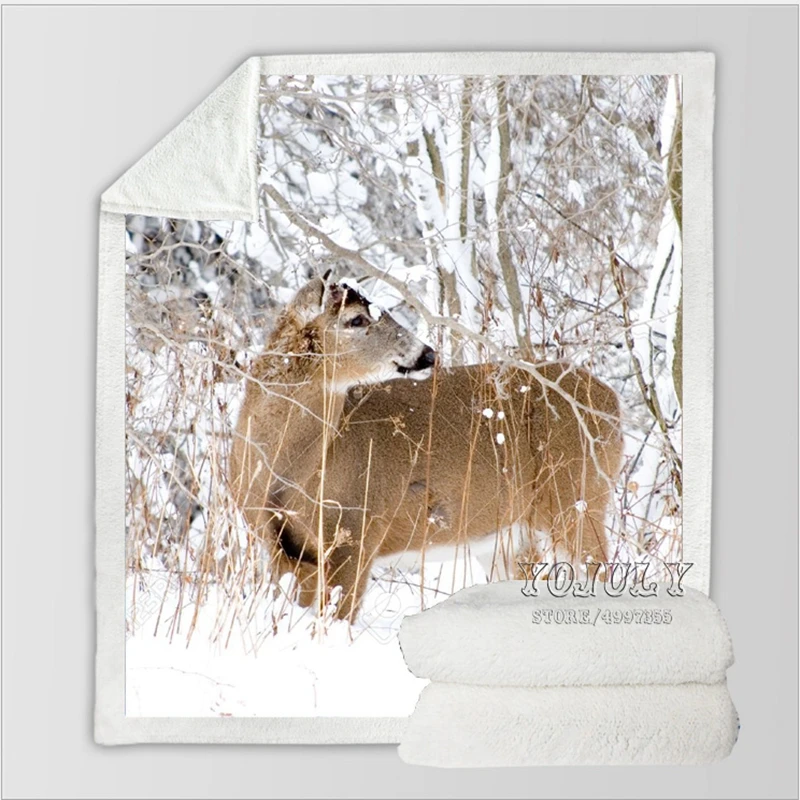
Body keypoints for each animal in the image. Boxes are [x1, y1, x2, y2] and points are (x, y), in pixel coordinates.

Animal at [229, 274, 624, 622]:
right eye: (356, 319)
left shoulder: (356, 533)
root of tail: (613, 402)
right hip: (509, 533)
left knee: (603, 570)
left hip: (577, 495)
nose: (428, 354)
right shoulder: (281, 548)